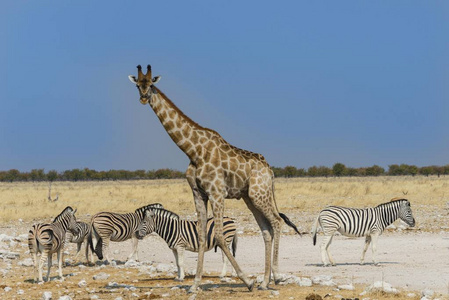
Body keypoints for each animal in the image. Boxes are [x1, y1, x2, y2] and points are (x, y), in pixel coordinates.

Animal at [128, 64, 300, 292]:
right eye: (138, 85)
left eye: (151, 83)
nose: (143, 97)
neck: (193, 151)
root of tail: (270, 171)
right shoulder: (198, 193)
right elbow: (201, 234)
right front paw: (195, 284)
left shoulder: (217, 192)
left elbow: (218, 234)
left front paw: (247, 281)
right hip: (250, 198)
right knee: (266, 229)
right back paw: (264, 282)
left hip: (259, 193)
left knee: (277, 222)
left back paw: (277, 277)